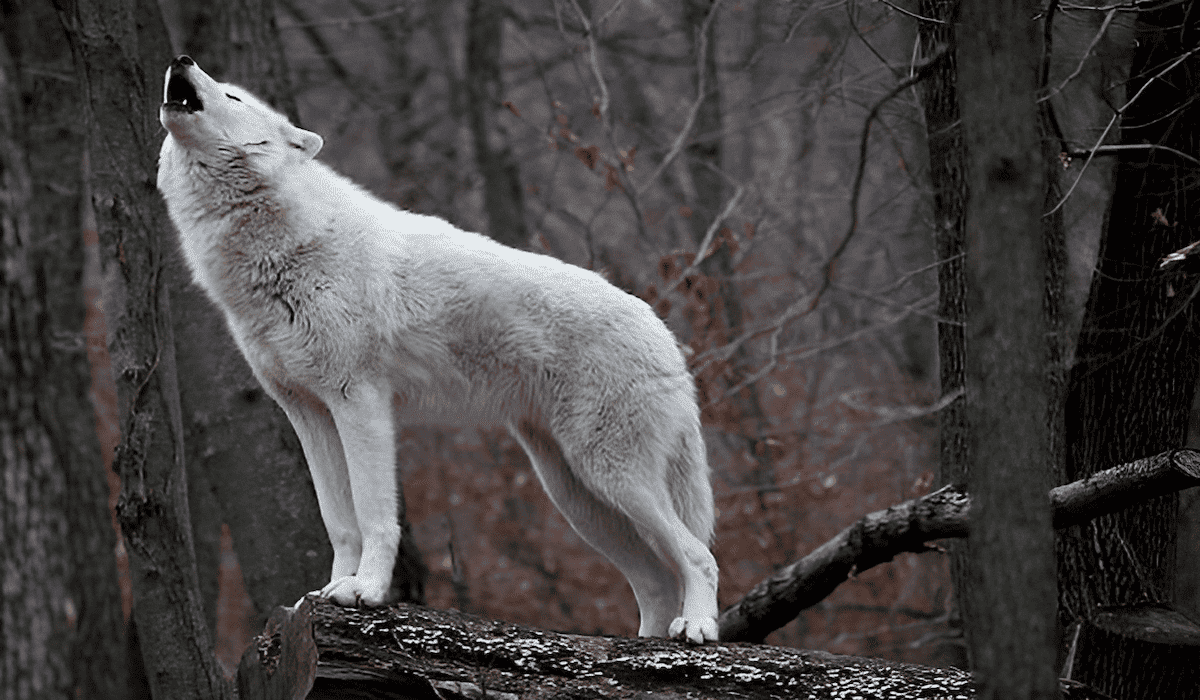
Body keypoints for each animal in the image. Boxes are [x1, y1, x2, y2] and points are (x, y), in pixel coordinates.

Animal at [156, 56, 719, 643]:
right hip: (577, 496)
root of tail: (666, 335)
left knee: (698, 557)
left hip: (612, 477)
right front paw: (326, 593)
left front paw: (365, 591)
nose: (181, 59)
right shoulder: (308, 413)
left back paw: (697, 627)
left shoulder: (359, 401)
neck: (281, 248)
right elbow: (340, 522)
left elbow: (374, 514)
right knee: (655, 580)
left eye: (234, 97)